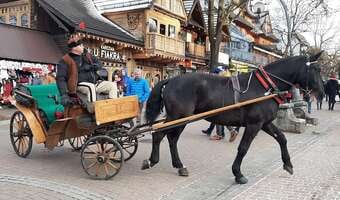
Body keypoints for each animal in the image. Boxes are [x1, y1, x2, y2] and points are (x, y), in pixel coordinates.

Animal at [141, 52, 324, 184]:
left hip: (179, 118)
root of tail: (171, 80)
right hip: (179, 117)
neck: (265, 86)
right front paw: (238, 173)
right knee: (161, 135)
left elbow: (282, 138)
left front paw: (288, 164)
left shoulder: (264, 123)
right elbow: (243, 148)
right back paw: (153, 161)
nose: (322, 92)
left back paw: (178, 165)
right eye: (315, 70)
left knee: (170, 139)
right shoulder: (254, 125)